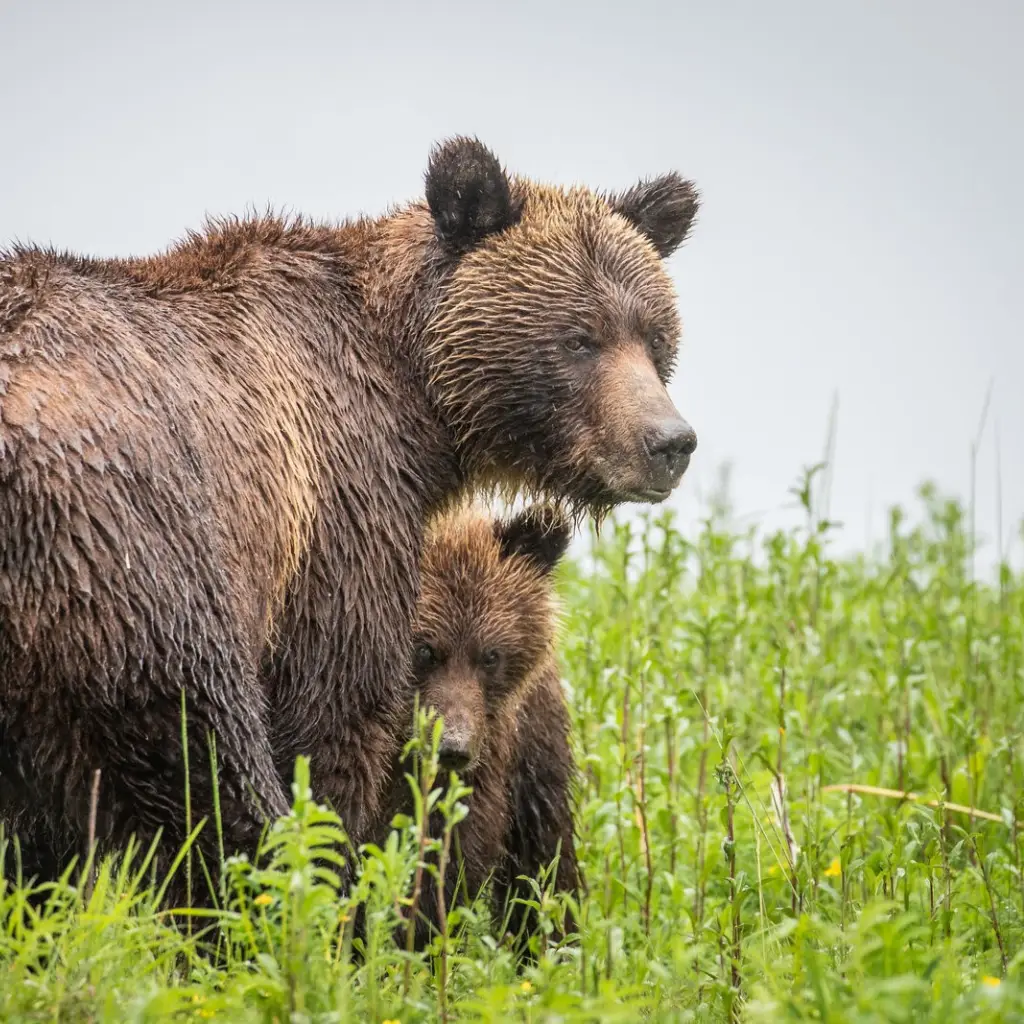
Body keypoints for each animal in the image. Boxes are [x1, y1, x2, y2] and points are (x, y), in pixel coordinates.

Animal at [0, 137, 698, 892]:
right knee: (201, 755)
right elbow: (333, 717)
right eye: (579, 338)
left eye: (656, 337)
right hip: (133, 550)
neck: (412, 395)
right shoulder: (338, 512)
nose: (669, 442)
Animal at [380, 502, 578, 954]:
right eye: (424, 649)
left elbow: (449, 852)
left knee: (544, 853)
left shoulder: (491, 757)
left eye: (490, 655)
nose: (453, 746)